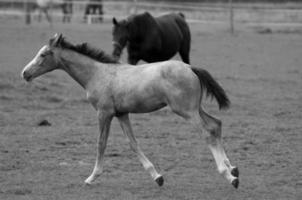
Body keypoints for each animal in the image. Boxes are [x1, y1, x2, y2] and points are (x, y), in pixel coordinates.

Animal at [20, 34, 239, 189]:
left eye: (43, 54)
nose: (25, 73)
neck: (97, 74)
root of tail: (190, 67)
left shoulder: (104, 113)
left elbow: (101, 143)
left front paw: (91, 177)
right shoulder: (121, 114)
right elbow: (133, 143)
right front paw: (157, 177)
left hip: (186, 110)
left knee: (208, 131)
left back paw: (228, 175)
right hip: (195, 108)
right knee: (216, 124)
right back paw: (233, 168)